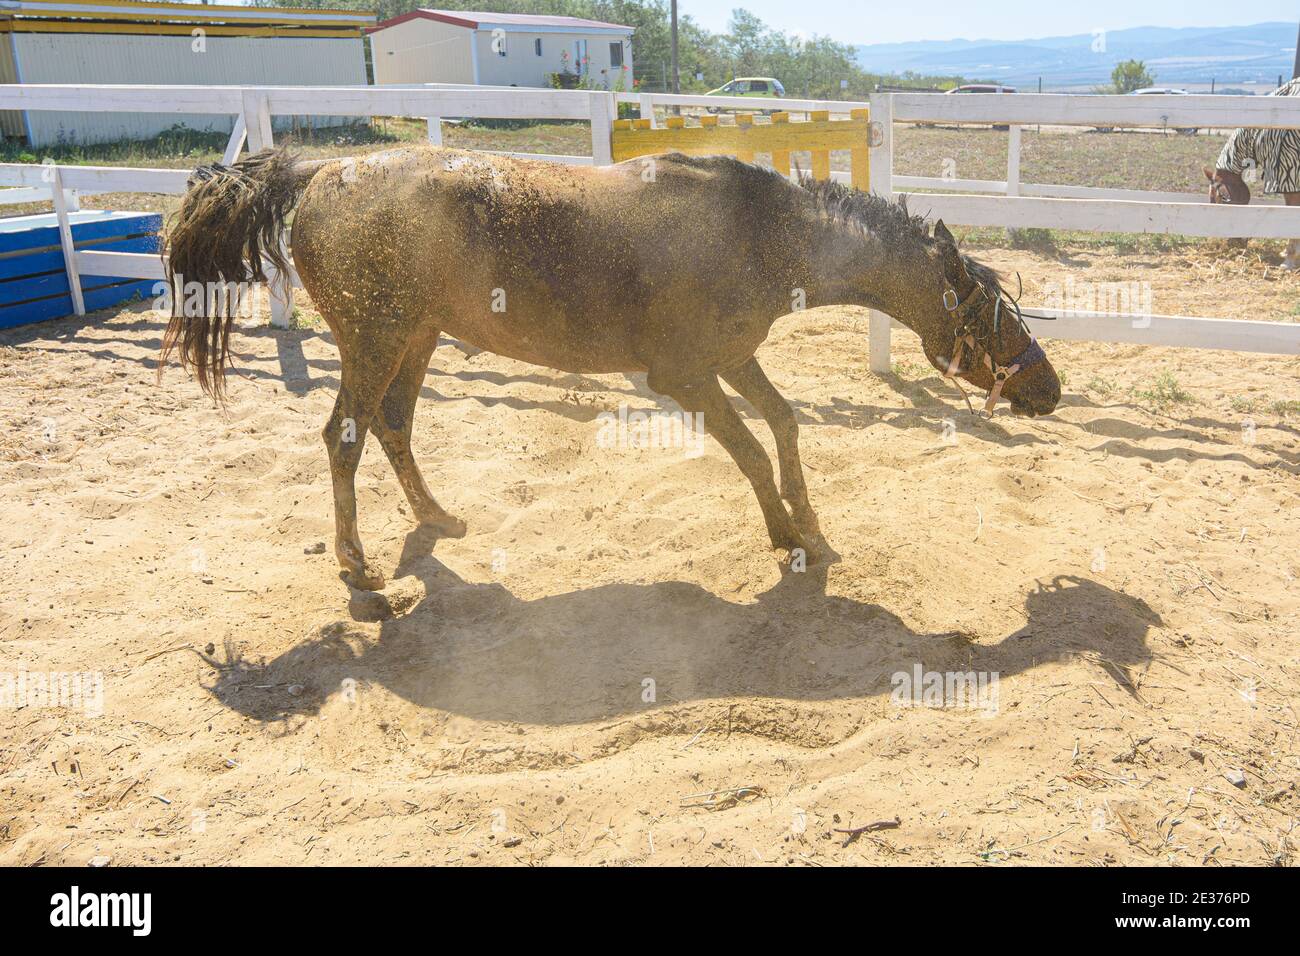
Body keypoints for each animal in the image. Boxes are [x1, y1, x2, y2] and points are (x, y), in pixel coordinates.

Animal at [161, 146, 1061, 591]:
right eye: (990, 308)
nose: (1049, 388)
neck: (760, 231)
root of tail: (315, 173)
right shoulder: (686, 378)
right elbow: (749, 449)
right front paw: (785, 535)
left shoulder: (733, 358)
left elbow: (783, 424)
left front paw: (809, 524)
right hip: (375, 340)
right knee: (344, 438)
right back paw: (357, 564)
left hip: (414, 340)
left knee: (394, 425)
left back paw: (439, 518)